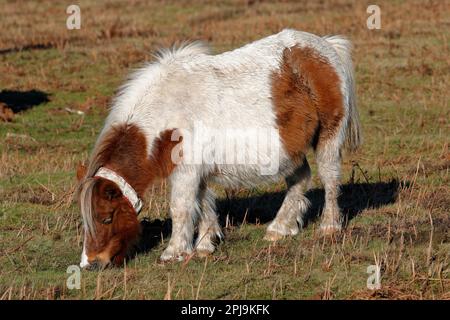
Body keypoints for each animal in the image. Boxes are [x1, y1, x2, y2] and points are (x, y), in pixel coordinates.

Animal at [75, 28, 360, 268]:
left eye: (106, 218)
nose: (91, 263)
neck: (169, 108)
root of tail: (326, 46)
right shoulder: (197, 172)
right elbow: (203, 204)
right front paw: (204, 245)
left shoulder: (186, 172)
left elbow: (181, 207)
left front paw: (174, 252)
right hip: (290, 151)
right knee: (300, 179)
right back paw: (279, 229)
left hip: (328, 140)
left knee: (330, 180)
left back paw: (329, 227)